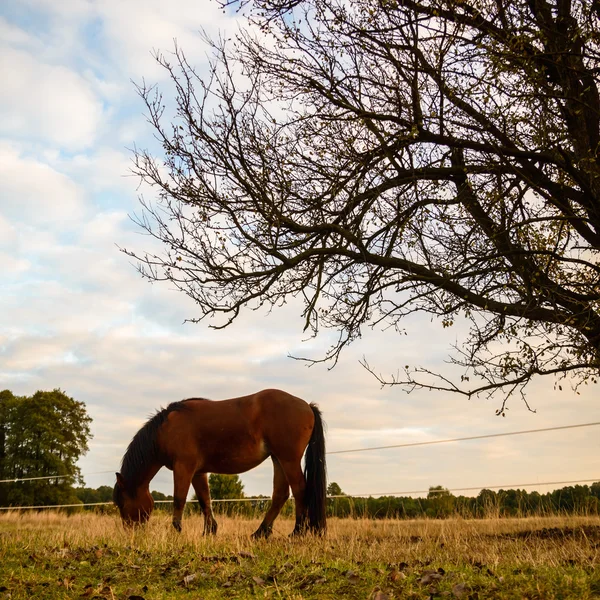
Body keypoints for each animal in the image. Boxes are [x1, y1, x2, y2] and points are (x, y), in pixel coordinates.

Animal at [112, 390, 328, 540]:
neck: (164, 430)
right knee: (280, 494)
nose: (130, 532)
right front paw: (209, 531)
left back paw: (297, 532)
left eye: (122, 503)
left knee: (300, 491)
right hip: (278, 459)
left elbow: (179, 499)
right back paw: (260, 533)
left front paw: (177, 531)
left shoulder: (183, 467)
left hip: (288, 460)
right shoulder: (197, 472)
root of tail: (307, 406)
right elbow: (204, 500)